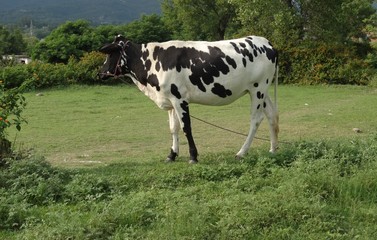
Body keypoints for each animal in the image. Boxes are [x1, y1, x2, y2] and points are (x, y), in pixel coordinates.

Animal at [98, 34, 278, 164]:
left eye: (110, 54)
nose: (99, 73)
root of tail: (267, 42)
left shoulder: (179, 99)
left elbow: (186, 128)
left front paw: (193, 156)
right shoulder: (170, 101)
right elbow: (173, 128)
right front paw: (172, 155)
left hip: (258, 89)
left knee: (256, 119)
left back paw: (242, 152)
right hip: (263, 91)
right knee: (272, 115)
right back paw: (273, 149)